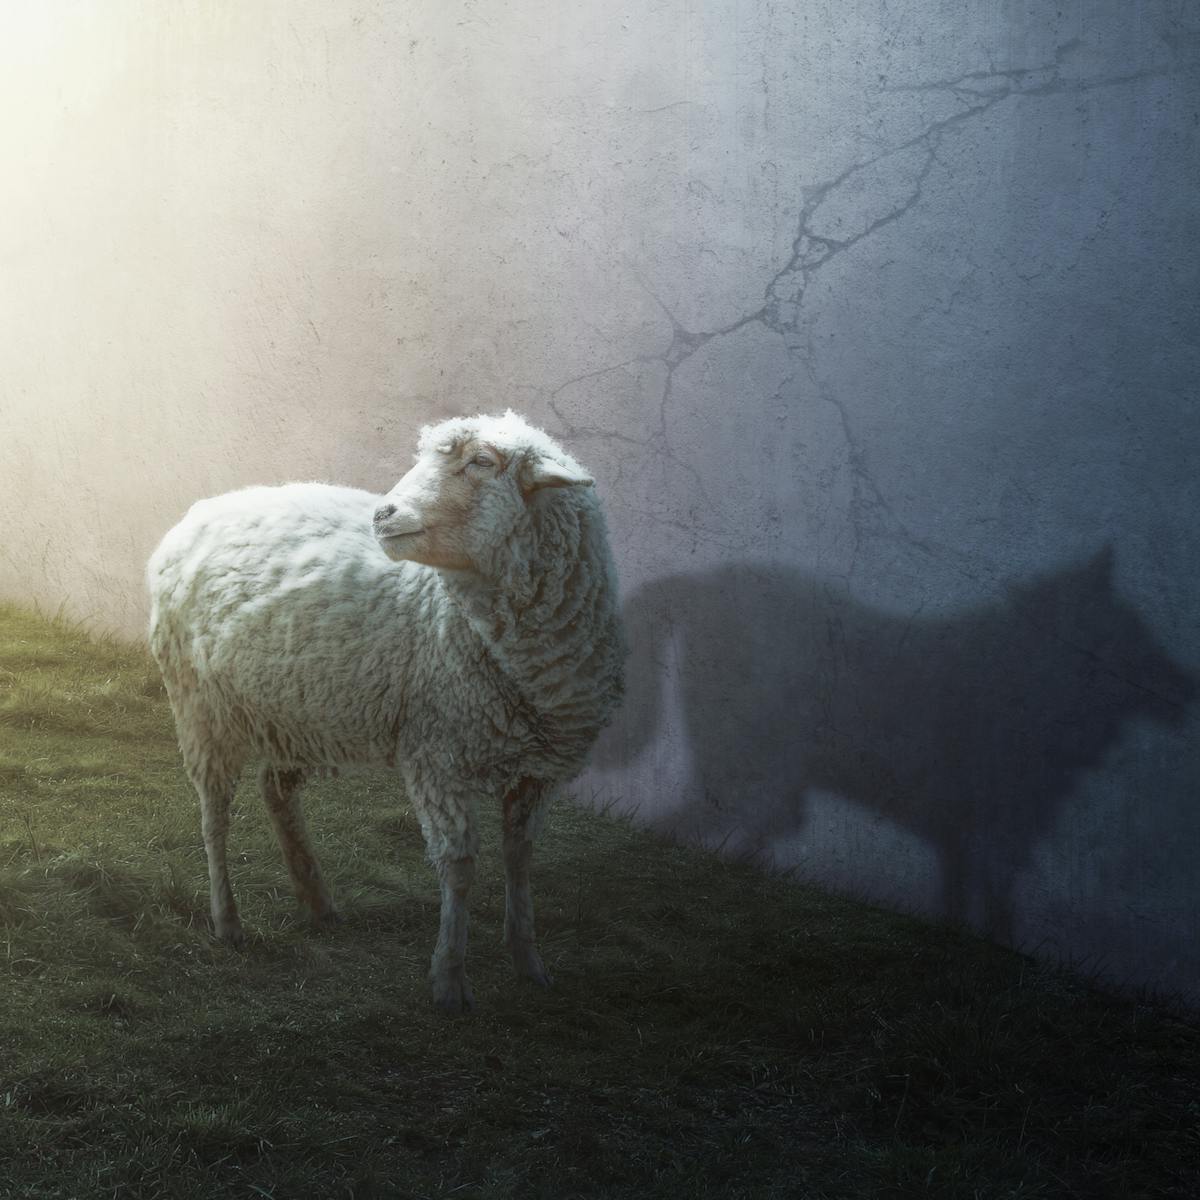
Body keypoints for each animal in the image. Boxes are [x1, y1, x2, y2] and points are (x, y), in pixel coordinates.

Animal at [146, 410, 624, 1011]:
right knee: (215, 816)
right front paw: (449, 979)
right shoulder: (437, 755)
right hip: (202, 708)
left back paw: (316, 898)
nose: (383, 514)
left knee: (276, 791)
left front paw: (528, 961)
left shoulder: (538, 771)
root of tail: (201, 511)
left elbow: (520, 859)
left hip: (296, 710)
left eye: (481, 462)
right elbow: (459, 867)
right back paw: (226, 919)